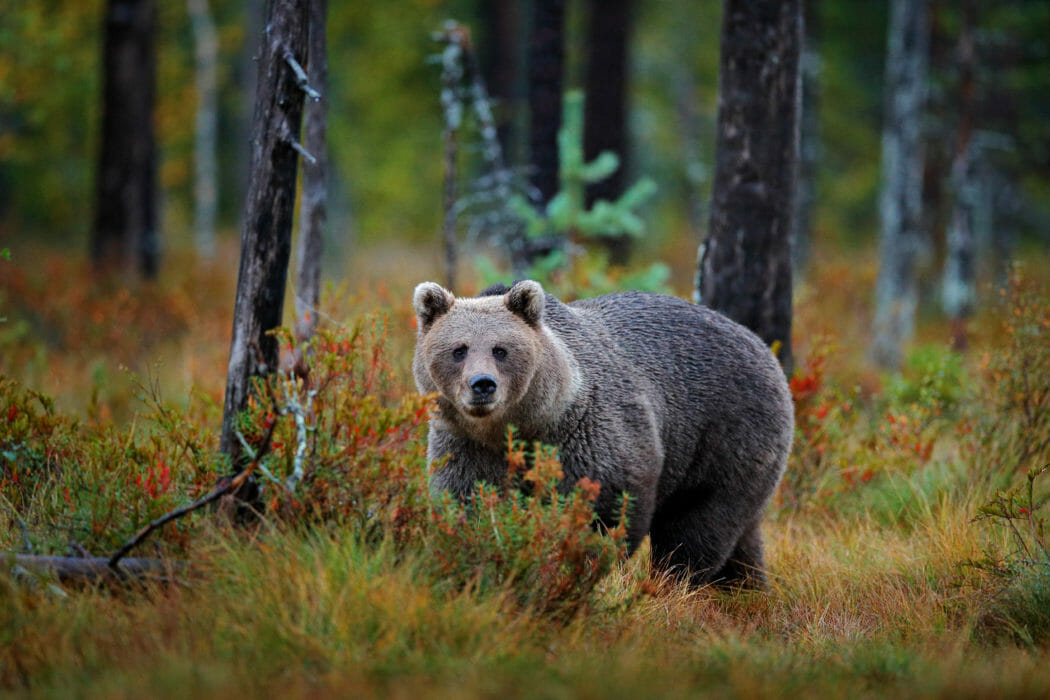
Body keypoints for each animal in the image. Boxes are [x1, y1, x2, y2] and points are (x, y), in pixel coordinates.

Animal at [413, 279, 789, 587]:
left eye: (501, 349)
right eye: (459, 349)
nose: (483, 385)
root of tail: (763, 346)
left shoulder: (589, 434)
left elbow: (607, 507)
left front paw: (579, 563)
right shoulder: (466, 444)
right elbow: (467, 499)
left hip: (727, 435)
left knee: (697, 523)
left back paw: (674, 581)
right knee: (743, 538)